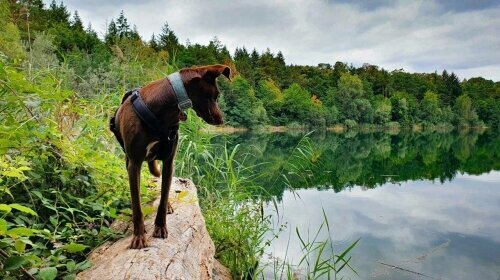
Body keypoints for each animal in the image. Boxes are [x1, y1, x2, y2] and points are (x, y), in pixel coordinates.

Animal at [110, 64, 229, 248]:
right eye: (215, 95)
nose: (221, 120)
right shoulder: (134, 164)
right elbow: (137, 206)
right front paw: (139, 235)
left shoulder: (168, 161)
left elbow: (164, 194)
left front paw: (160, 227)